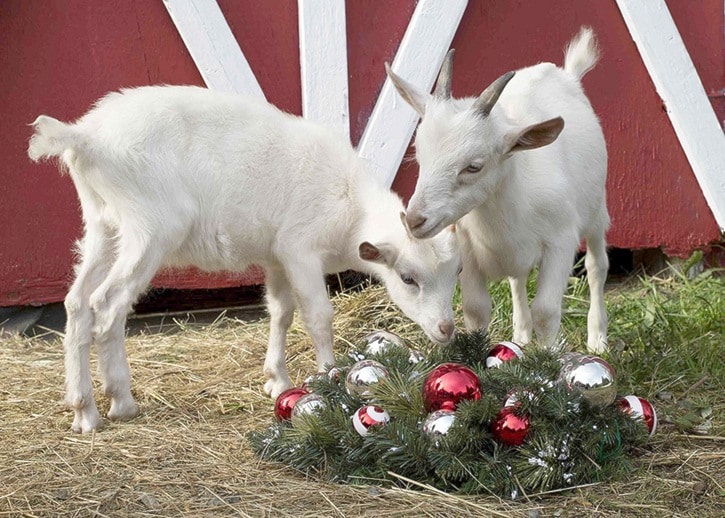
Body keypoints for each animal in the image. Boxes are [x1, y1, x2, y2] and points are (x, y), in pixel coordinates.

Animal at [29, 86, 458, 434]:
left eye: (456, 273)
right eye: (407, 278)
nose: (446, 329)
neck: (351, 203)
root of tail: (86, 137)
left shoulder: (277, 258)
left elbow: (280, 312)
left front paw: (277, 379)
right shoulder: (300, 250)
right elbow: (318, 317)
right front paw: (328, 377)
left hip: (103, 224)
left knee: (77, 302)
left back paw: (84, 411)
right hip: (149, 228)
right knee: (108, 304)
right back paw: (120, 400)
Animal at [388, 27, 608, 354]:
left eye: (474, 166)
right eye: (418, 154)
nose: (414, 220)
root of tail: (566, 74)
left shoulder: (560, 241)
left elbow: (546, 311)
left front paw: (548, 362)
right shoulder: (466, 246)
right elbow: (476, 307)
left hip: (596, 211)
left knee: (596, 267)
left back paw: (597, 338)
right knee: (518, 280)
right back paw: (521, 335)